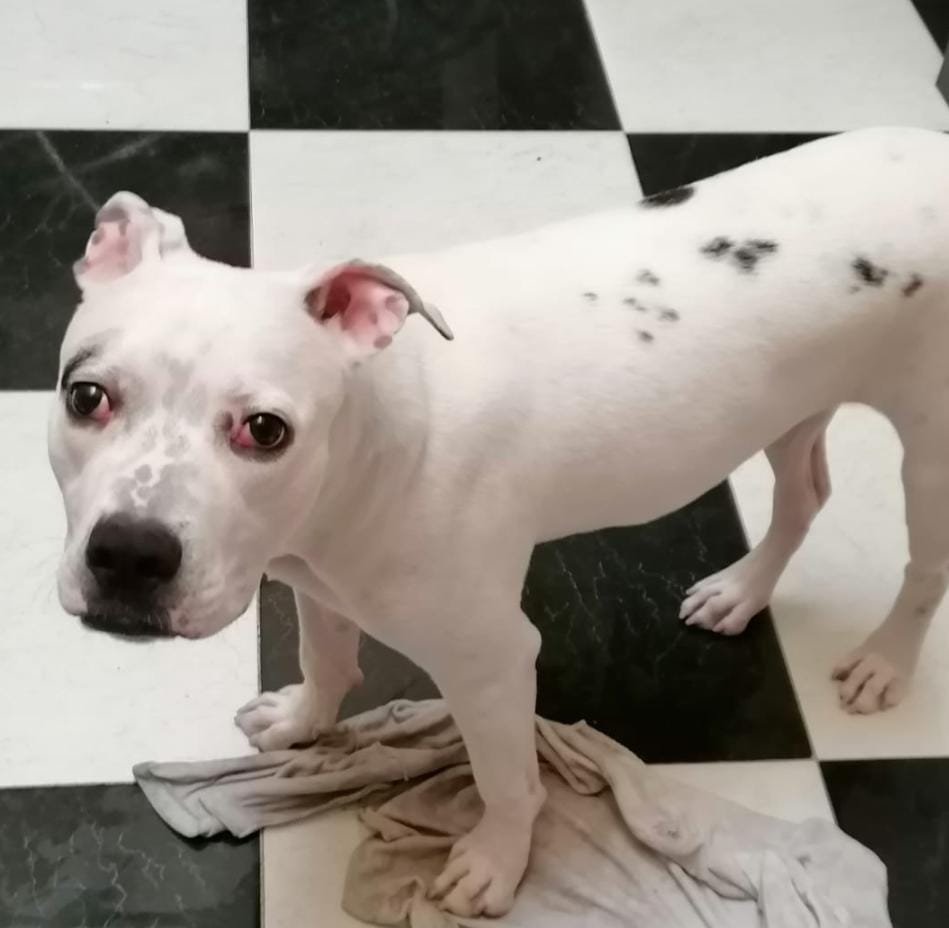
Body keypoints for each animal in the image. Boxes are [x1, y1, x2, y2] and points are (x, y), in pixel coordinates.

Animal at [48, 126, 949, 917]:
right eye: (85, 396)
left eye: (264, 430)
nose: (128, 555)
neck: (372, 440)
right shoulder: (318, 579)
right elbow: (326, 655)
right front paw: (303, 721)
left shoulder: (492, 661)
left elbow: (507, 778)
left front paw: (494, 862)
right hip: (790, 405)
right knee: (805, 495)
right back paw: (742, 591)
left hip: (928, 455)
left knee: (923, 568)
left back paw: (883, 662)